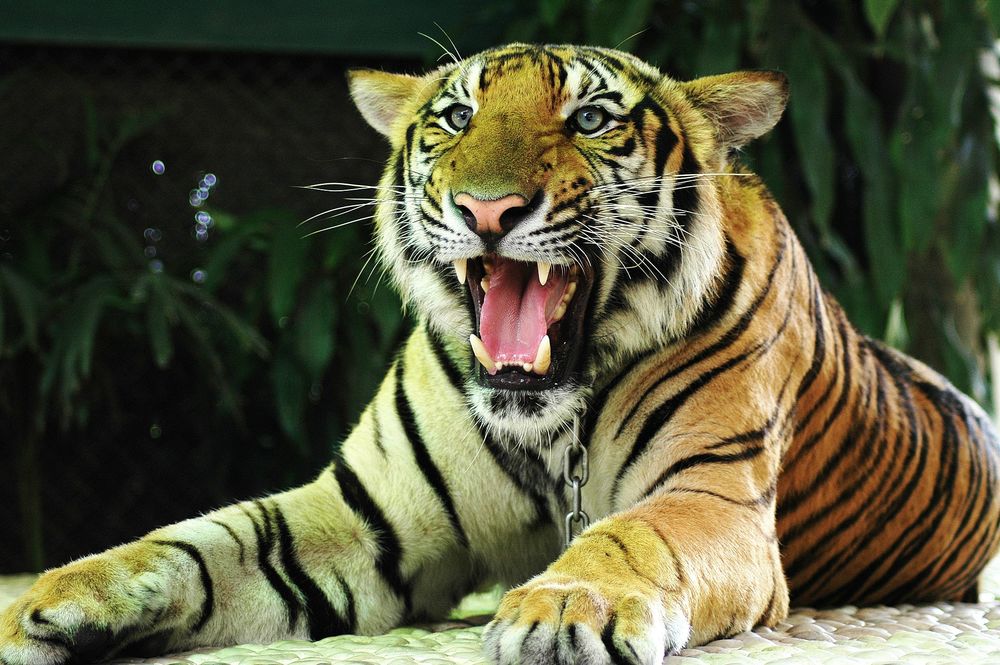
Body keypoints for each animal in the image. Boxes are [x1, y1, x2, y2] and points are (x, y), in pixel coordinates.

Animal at [2, 42, 999, 665]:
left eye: (591, 118)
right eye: (453, 117)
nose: (487, 208)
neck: (552, 424)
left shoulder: (713, 501)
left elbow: (629, 534)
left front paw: (565, 605)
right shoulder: (362, 515)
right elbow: (206, 538)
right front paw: (45, 600)